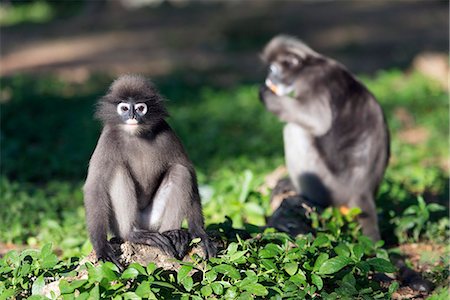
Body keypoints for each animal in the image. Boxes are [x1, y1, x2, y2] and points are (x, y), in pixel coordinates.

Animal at [85, 75, 218, 268]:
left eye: (140, 108)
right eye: (124, 108)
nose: (132, 116)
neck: (136, 134)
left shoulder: (167, 132)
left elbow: (189, 172)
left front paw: (199, 234)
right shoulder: (108, 138)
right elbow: (95, 187)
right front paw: (102, 248)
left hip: (153, 221)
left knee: (180, 171)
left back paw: (173, 234)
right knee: (117, 170)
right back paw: (133, 234)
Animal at [260, 35, 390, 241]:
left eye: (273, 69)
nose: (268, 79)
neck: (311, 63)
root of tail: (364, 193)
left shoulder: (313, 79)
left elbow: (316, 120)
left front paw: (266, 96)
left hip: (331, 187)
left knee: (294, 130)